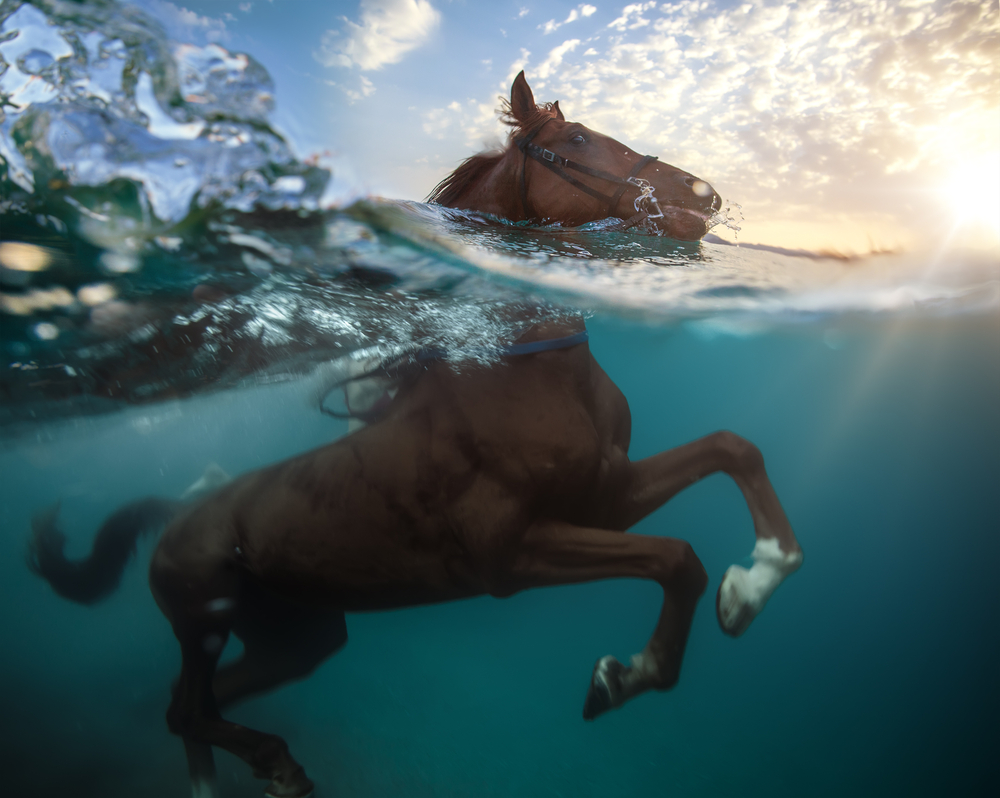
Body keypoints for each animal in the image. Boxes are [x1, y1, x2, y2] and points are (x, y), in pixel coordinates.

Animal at [28, 315, 803, 798]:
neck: (533, 376)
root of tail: (180, 511)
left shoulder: (607, 501)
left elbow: (733, 448)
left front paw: (755, 582)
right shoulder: (511, 555)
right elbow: (678, 558)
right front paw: (626, 676)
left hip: (299, 636)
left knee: (193, 702)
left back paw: (262, 772)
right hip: (206, 614)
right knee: (187, 707)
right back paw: (276, 764)